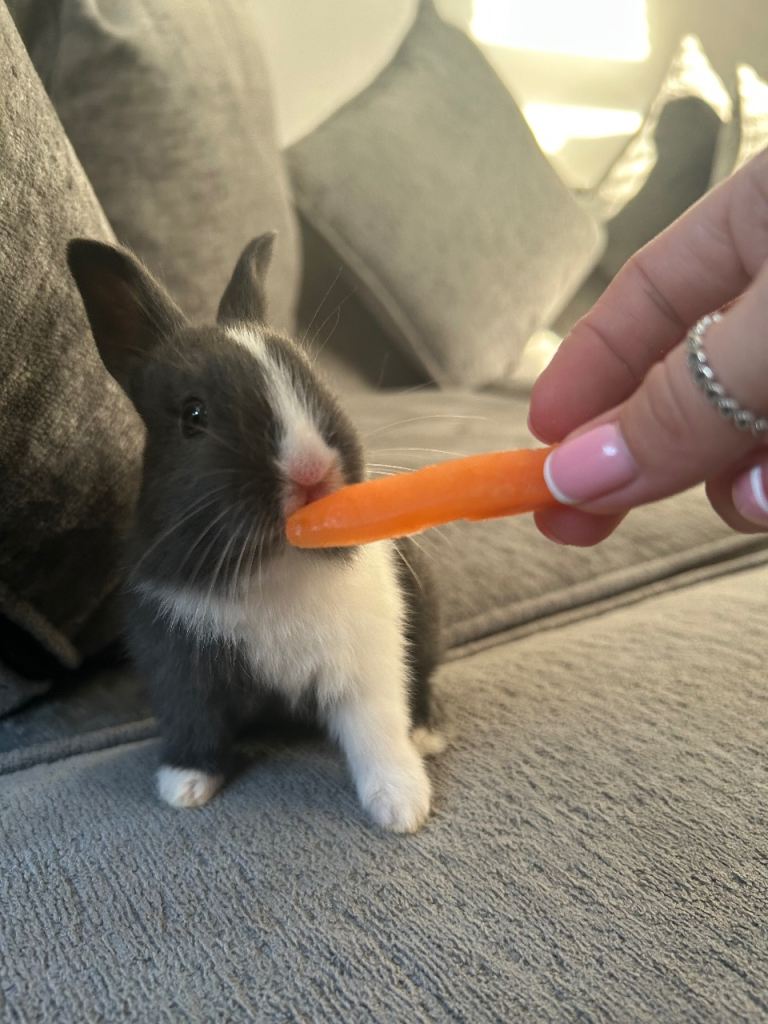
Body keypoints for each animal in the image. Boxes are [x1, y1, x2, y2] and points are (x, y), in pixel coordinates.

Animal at [67, 233, 444, 833]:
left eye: (314, 379)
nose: (311, 471)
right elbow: (193, 721)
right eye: (193, 416)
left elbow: (376, 733)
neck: (277, 560)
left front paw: (402, 808)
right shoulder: (179, 667)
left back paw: (426, 736)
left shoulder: (369, 665)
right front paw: (184, 788)